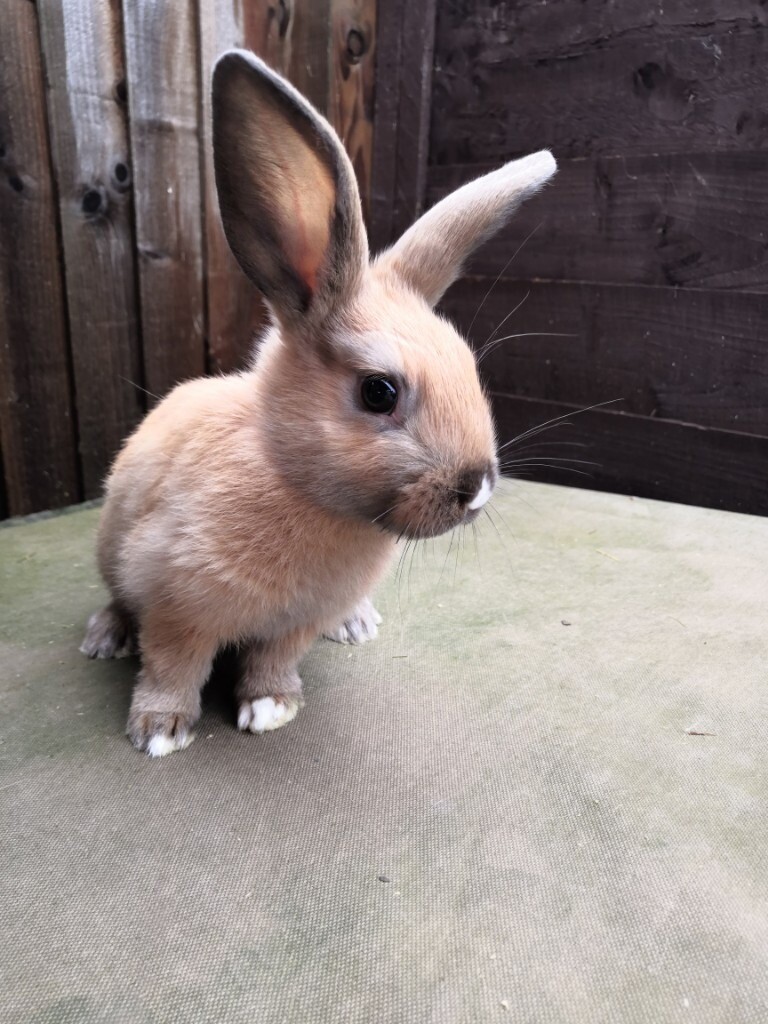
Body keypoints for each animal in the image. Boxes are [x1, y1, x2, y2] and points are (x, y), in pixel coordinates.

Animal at [80, 50, 557, 756]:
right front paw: (159, 733)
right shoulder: (172, 603)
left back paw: (357, 624)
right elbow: (173, 666)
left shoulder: (294, 626)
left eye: (470, 370)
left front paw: (272, 707)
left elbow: (274, 662)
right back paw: (104, 638)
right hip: (112, 549)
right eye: (379, 391)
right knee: (118, 602)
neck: (294, 480)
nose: (477, 488)